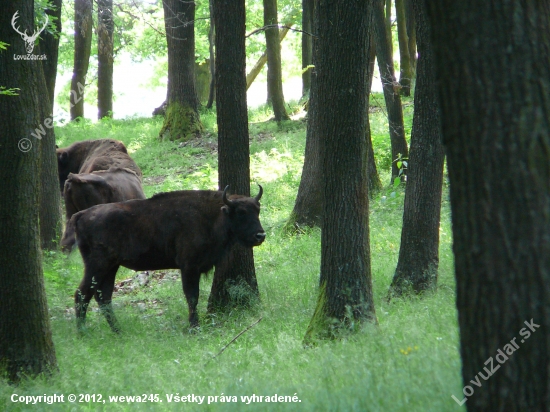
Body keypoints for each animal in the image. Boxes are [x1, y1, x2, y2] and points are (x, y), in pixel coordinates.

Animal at [71, 185, 268, 334]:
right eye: (241, 212)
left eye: (257, 210)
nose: (260, 235)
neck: (214, 214)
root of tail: (81, 215)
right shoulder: (189, 267)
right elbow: (192, 297)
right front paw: (194, 327)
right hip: (98, 266)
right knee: (82, 294)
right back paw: (83, 333)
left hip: (111, 267)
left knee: (103, 297)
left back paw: (118, 331)